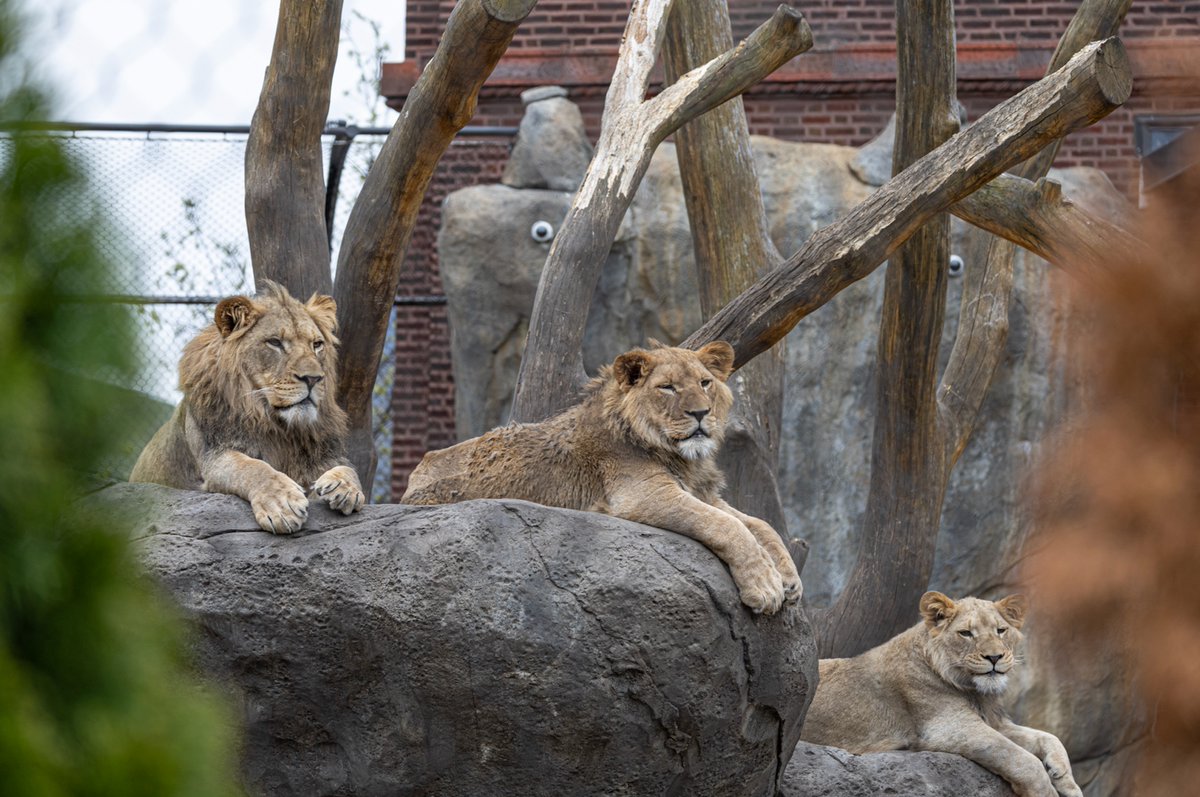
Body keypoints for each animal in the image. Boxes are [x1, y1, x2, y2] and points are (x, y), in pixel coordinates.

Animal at [130, 279, 362, 535]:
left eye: (317, 344)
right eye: (275, 342)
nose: (313, 379)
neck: (277, 425)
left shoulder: (322, 455)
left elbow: (349, 468)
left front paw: (344, 486)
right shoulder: (214, 457)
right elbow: (253, 467)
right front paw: (283, 505)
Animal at [398, 338, 801, 612]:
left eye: (705, 383)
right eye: (667, 387)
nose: (701, 413)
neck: (683, 457)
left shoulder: (704, 494)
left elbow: (760, 524)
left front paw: (790, 578)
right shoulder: (645, 494)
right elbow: (727, 527)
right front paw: (765, 586)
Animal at [801, 590, 1084, 797]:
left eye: (1000, 630)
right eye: (966, 633)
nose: (994, 657)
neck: (973, 691)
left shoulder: (995, 722)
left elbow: (1048, 737)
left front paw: (1066, 781)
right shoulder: (952, 727)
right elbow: (1020, 758)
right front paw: (1047, 791)